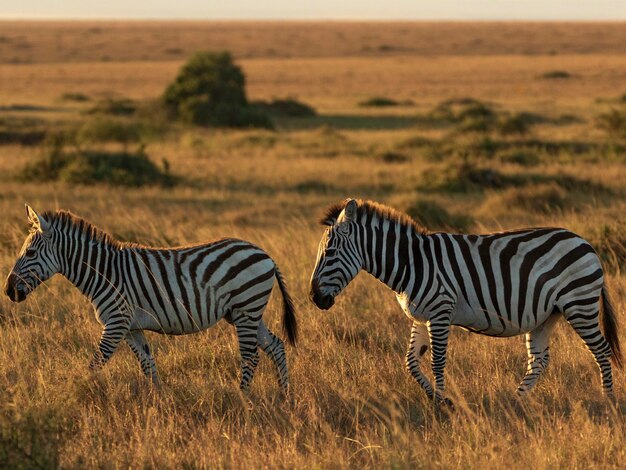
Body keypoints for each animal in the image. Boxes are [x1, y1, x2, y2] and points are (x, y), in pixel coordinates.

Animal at [4, 206, 298, 392]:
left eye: (30, 253)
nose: (8, 291)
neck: (105, 273)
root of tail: (265, 253)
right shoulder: (131, 328)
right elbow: (148, 365)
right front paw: (159, 401)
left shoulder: (115, 323)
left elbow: (95, 363)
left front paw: (77, 392)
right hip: (245, 313)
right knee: (276, 346)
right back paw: (284, 397)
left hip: (246, 308)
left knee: (250, 357)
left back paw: (243, 398)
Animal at [310, 198, 620, 404]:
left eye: (330, 252)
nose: (314, 298)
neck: (412, 262)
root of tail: (586, 243)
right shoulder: (421, 316)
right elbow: (411, 362)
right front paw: (438, 399)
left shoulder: (440, 310)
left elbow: (437, 361)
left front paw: (441, 404)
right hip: (547, 315)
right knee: (539, 360)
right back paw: (516, 401)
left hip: (579, 304)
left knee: (601, 350)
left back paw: (608, 400)